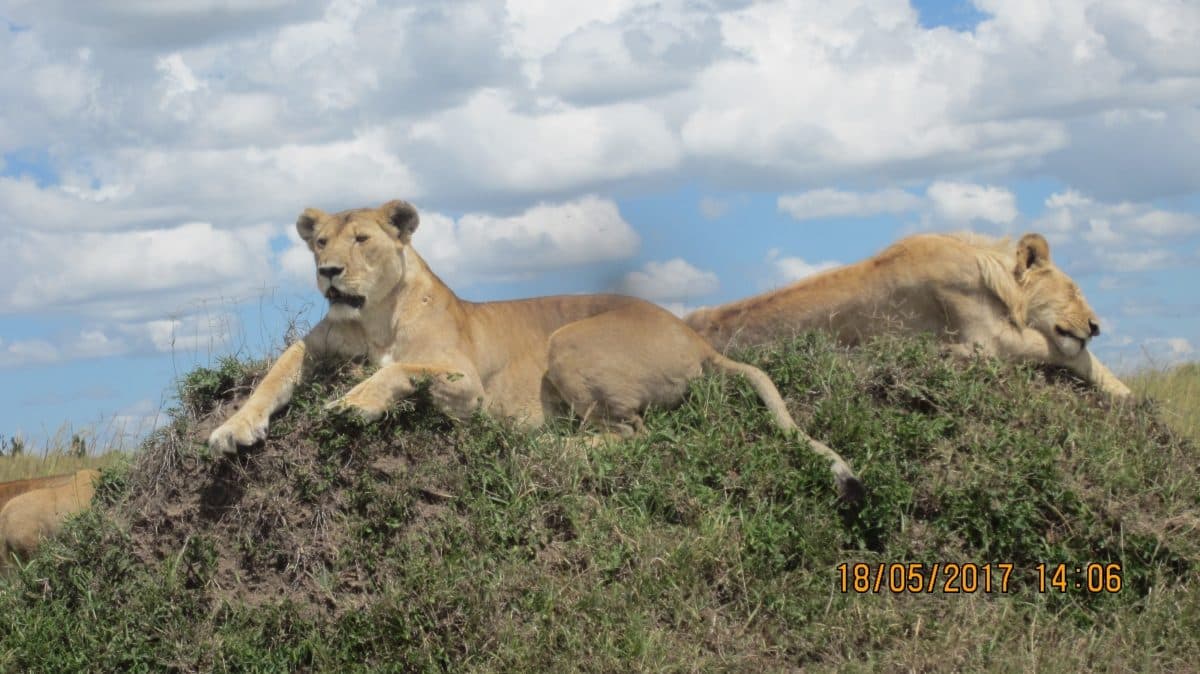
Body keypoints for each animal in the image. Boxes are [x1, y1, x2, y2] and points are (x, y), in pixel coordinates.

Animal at [207, 200, 862, 500]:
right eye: (319, 241)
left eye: (362, 239)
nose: (329, 272)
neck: (369, 321)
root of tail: (694, 335)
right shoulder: (317, 347)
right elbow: (274, 375)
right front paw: (232, 428)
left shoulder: (466, 383)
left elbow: (400, 371)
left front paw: (354, 403)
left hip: (567, 341)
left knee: (630, 436)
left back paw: (546, 447)